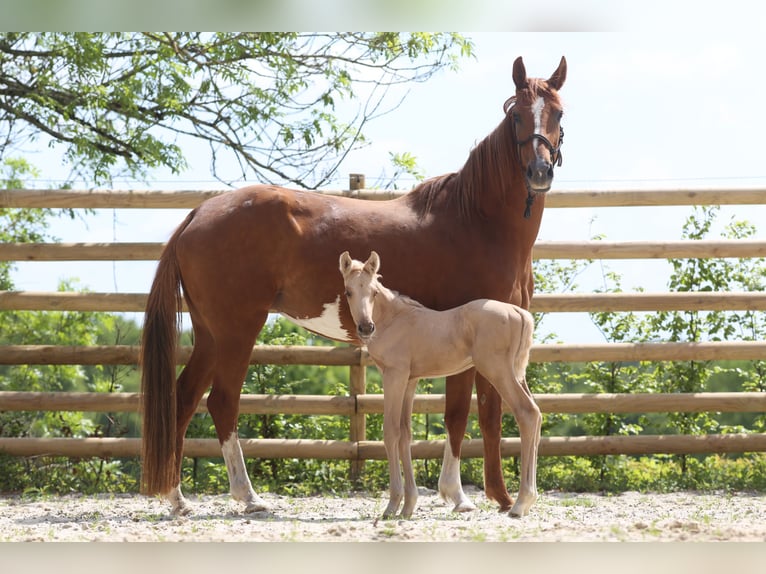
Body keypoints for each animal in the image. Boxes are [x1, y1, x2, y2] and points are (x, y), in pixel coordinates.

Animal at [342, 253, 544, 520]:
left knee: (527, 413)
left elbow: (391, 432)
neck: (395, 319)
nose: (366, 327)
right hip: (517, 373)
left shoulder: (394, 375)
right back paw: (527, 501)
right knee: (536, 414)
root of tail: (519, 313)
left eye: (374, 292)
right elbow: (405, 433)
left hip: (498, 371)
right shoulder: (410, 380)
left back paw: (520, 503)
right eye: (348, 292)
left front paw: (392, 506)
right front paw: (408, 506)